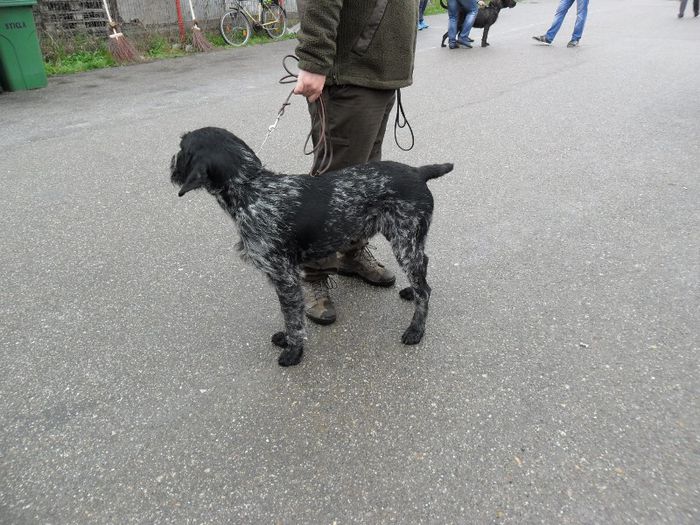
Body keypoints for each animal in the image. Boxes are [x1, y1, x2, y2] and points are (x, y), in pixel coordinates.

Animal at [170, 126, 454, 366]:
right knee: (423, 269)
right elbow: (290, 314)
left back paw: (416, 329)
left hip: (405, 240)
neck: (250, 188)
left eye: (182, 147)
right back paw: (410, 292)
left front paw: (293, 351)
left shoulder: (284, 276)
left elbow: (292, 316)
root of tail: (418, 172)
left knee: (425, 289)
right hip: (409, 240)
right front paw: (287, 340)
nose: (171, 161)